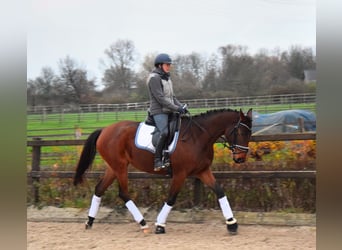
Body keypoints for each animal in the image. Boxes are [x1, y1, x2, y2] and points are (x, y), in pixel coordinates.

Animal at [73, 108, 252, 235]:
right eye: (240, 132)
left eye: (249, 133)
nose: (240, 159)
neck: (198, 137)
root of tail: (104, 130)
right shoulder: (180, 174)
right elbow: (171, 198)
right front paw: (160, 225)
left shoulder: (202, 171)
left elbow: (220, 192)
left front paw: (232, 224)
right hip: (120, 167)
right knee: (123, 193)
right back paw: (143, 224)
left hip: (113, 167)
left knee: (99, 189)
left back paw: (89, 222)